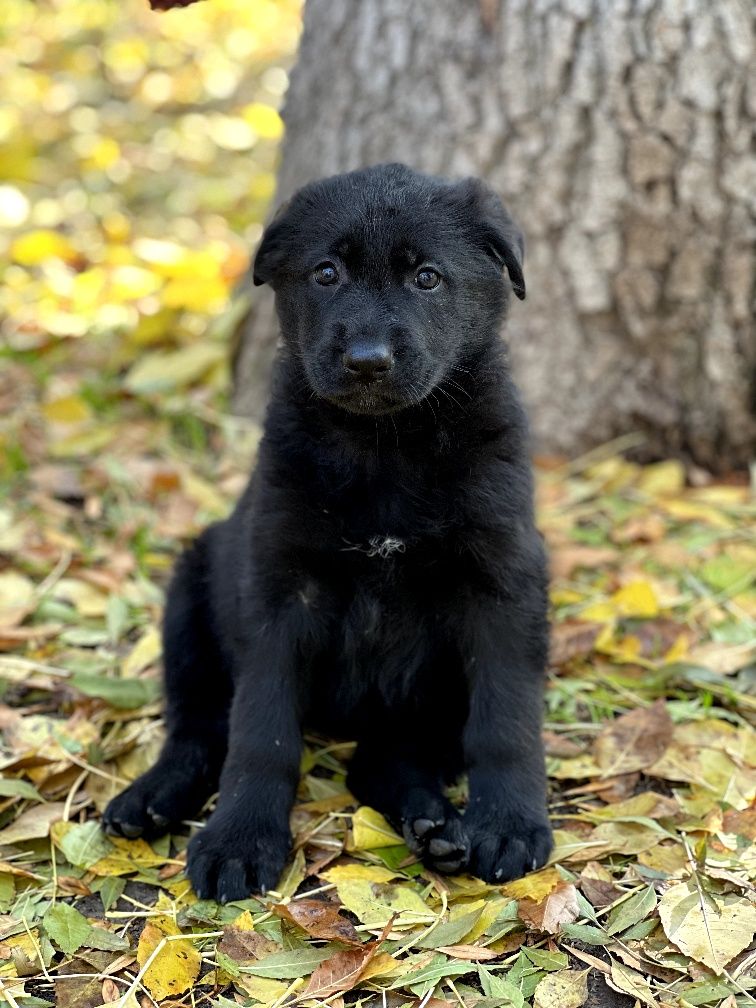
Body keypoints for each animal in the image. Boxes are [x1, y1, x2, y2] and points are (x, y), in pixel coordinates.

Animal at [102, 163, 552, 899]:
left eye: (427, 277)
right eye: (326, 273)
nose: (368, 360)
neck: (384, 445)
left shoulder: (503, 585)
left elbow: (506, 719)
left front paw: (508, 824)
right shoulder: (280, 591)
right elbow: (261, 732)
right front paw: (241, 837)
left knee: (383, 759)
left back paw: (435, 827)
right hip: (191, 598)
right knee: (198, 725)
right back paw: (153, 797)